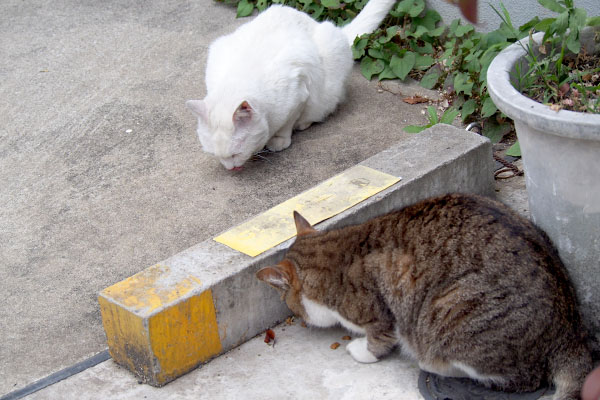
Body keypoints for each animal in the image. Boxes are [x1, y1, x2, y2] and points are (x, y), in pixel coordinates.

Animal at [185, 0, 396, 170]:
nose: (230, 168)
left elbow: (287, 122)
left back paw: (304, 123)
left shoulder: (298, 92)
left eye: (235, 154)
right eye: (215, 155)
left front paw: (279, 140)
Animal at [256, 192, 592, 398]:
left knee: (523, 379)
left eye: (292, 306)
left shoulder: (378, 312)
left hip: (451, 313)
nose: (299, 319)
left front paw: (362, 350)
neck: (330, 252)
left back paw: (433, 364)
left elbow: (380, 339)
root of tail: (570, 332)